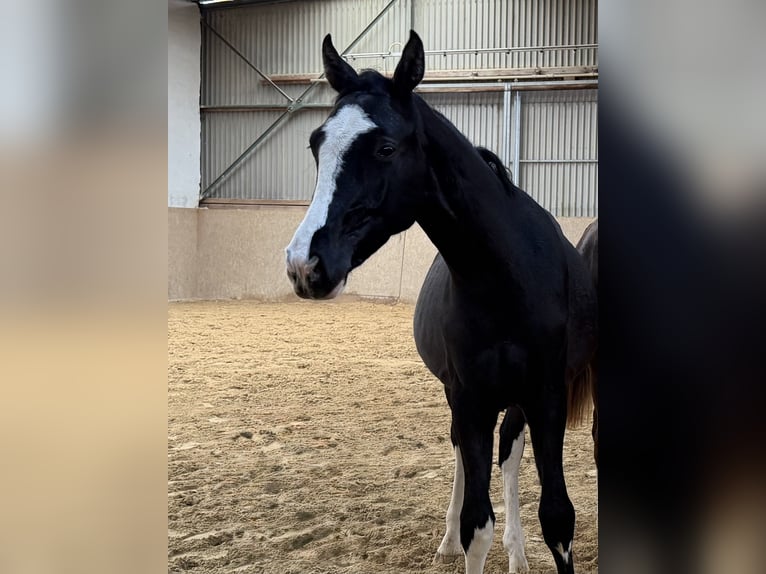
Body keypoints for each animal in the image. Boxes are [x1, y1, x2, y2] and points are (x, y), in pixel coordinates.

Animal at [285, 31, 597, 574]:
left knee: (508, 455)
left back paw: (518, 554)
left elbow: (557, 517)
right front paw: (461, 538)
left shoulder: (547, 396)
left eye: (386, 148)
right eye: (316, 144)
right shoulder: (469, 398)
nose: (305, 265)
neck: (508, 281)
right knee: (463, 460)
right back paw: (451, 540)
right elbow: (477, 522)